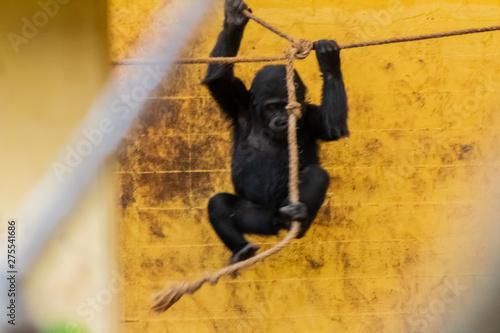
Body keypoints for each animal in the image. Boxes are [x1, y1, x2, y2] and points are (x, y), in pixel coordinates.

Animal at [202, 0, 348, 264]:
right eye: (272, 107)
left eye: (285, 106)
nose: (281, 120)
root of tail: (272, 224)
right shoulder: (237, 103)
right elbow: (218, 77)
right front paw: (234, 20)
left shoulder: (310, 116)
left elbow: (333, 127)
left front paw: (329, 61)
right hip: (255, 218)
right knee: (220, 205)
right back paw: (242, 250)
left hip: (282, 209)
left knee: (316, 174)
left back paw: (297, 218)